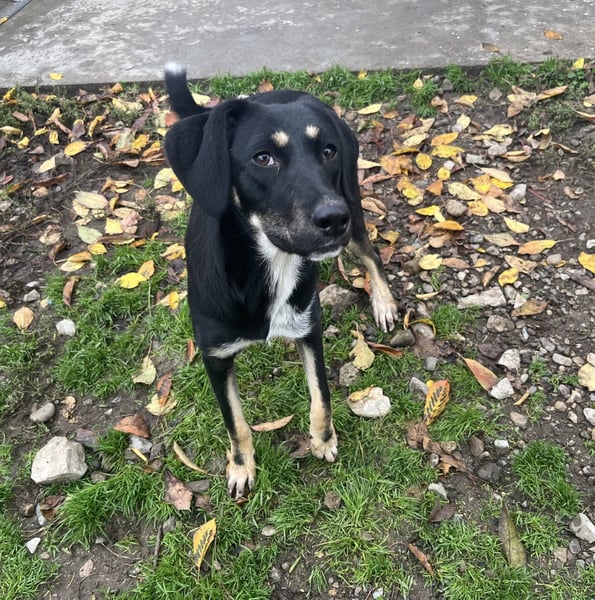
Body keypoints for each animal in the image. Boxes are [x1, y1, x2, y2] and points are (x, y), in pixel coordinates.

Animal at [164, 63, 398, 497]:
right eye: (263, 158)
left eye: (328, 151)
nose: (334, 219)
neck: (269, 268)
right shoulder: (215, 356)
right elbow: (236, 423)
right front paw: (241, 467)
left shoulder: (308, 327)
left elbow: (321, 395)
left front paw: (323, 439)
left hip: (353, 201)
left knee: (371, 254)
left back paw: (384, 302)